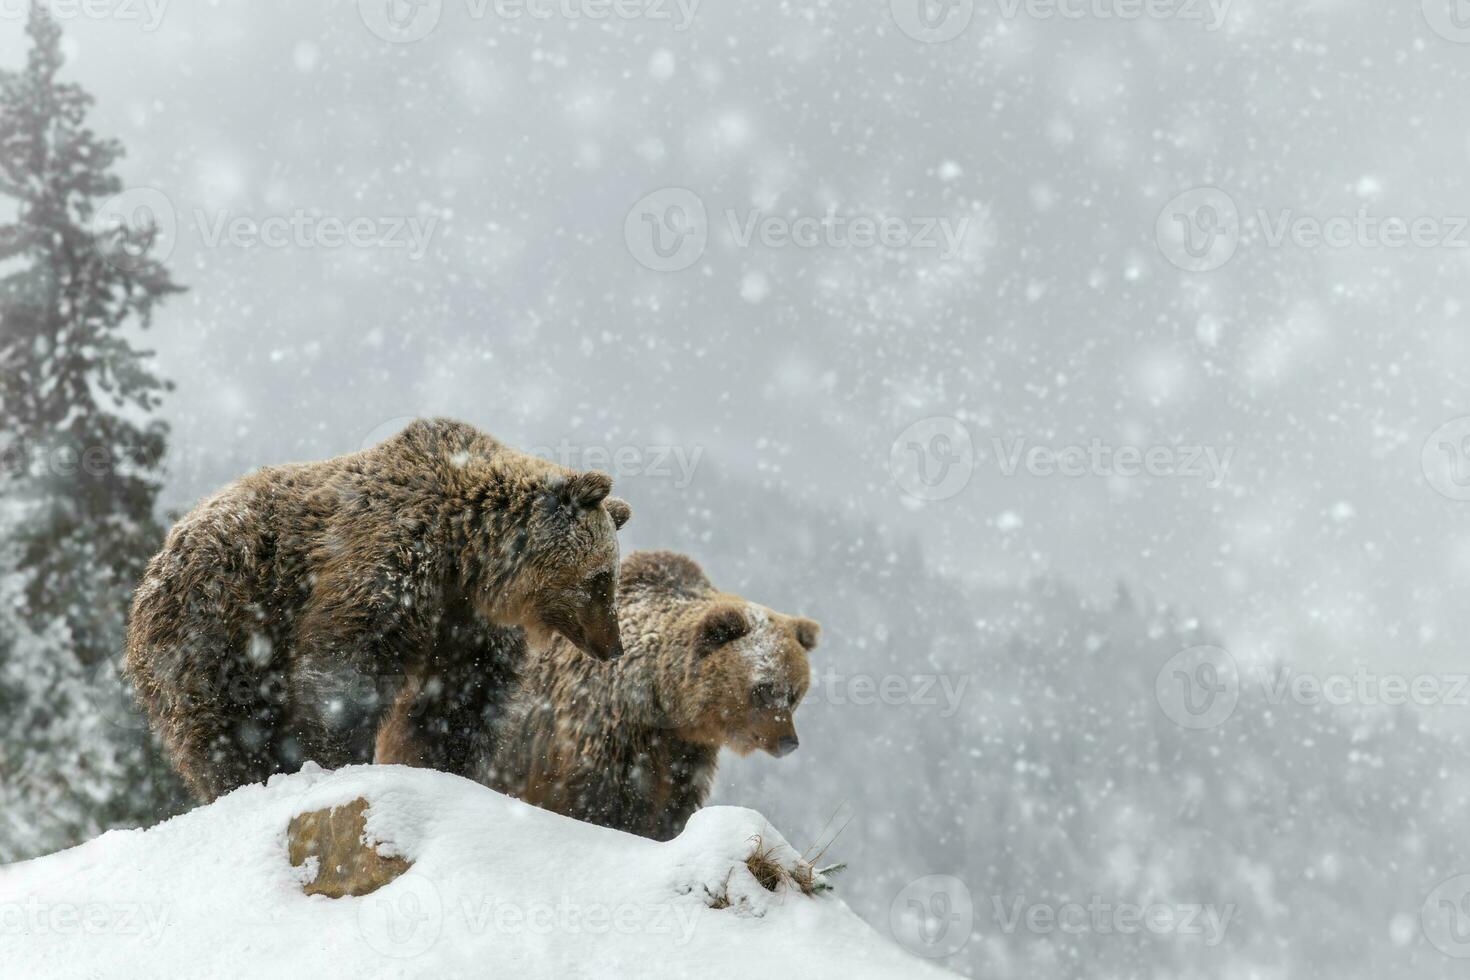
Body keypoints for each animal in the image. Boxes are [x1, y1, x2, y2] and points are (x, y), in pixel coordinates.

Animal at [123, 417, 629, 799]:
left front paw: (442, 765)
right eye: (602, 578)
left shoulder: (467, 626)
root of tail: (160, 556)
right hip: (219, 620)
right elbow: (346, 670)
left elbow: (459, 702)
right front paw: (340, 759)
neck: (466, 556)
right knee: (228, 720)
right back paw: (245, 778)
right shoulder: (387, 566)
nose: (614, 646)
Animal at [446, 552, 823, 846]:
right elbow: (601, 804)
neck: (662, 707)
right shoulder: (604, 734)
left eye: (794, 694)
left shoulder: (686, 755)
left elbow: (673, 807)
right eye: (762, 687)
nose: (788, 741)